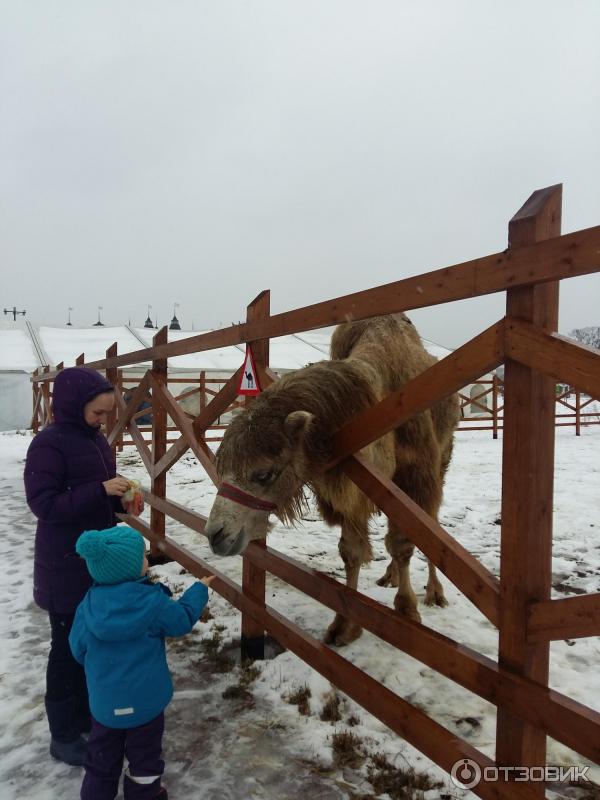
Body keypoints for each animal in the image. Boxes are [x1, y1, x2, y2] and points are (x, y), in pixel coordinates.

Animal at [204, 312, 462, 644]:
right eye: (222, 468)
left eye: (263, 473)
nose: (215, 534)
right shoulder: (351, 486)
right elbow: (351, 551)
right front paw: (345, 626)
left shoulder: (416, 475)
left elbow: (405, 542)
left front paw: (407, 609)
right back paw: (390, 576)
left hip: (442, 460)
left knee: (432, 523)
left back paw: (435, 593)